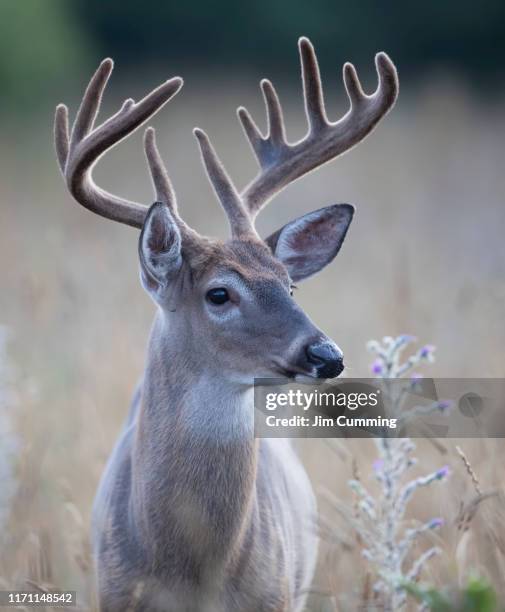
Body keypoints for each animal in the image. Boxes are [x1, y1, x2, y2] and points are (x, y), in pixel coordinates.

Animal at [53, 39, 396, 612]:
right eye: (219, 294)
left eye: (290, 285)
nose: (327, 355)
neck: (194, 573)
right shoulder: (115, 591)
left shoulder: (276, 595)